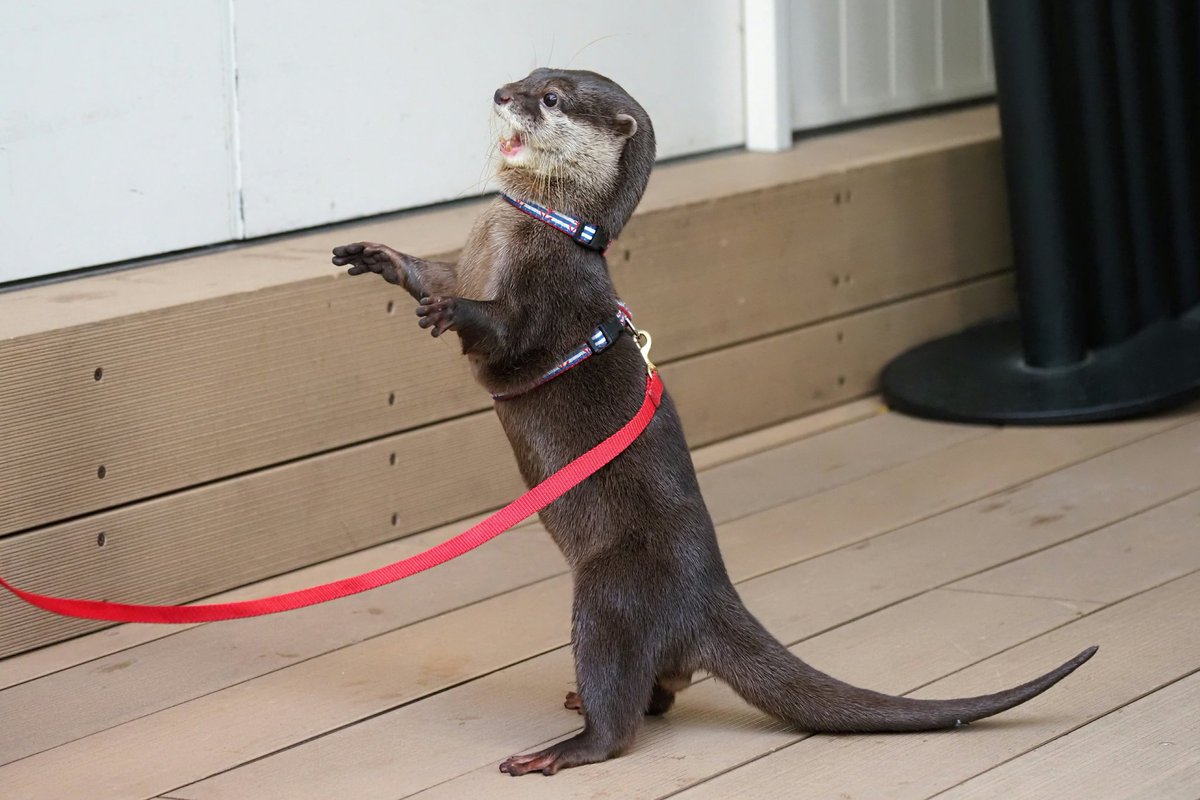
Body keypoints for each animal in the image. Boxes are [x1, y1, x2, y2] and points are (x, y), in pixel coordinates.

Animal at [332, 68, 1097, 777]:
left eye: (550, 98)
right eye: (529, 75)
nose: (501, 93)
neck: (521, 230)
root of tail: (707, 592)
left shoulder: (546, 299)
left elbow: (501, 333)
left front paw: (455, 313)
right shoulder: (470, 259)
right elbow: (433, 272)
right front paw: (379, 257)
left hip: (606, 594)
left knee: (618, 721)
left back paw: (564, 748)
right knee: (664, 690)